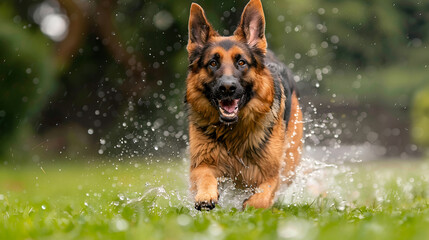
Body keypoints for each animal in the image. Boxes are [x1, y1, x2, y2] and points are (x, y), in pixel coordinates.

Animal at [186, 0, 302, 210]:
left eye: (241, 63)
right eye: (213, 63)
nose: (227, 88)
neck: (233, 133)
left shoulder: (272, 175)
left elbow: (261, 198)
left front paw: (249, 206)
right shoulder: (202, 164)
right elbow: (205, 177)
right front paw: (206, 196)